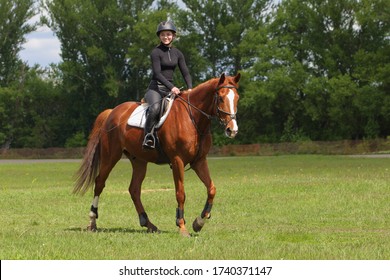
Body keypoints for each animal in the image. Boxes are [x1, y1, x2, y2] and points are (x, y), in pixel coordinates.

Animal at [71, 72, 239, 236]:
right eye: (221, 98)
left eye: (237, 98)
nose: (232, 129)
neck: (193, 119)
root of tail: (112, 112)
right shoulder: (177, 160)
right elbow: (180, 193)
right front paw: (182, 226)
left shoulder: (199, 161)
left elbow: (211, 189)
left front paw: (199, 222)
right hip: (110, 156)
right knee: (100, 183)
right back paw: (92, 222)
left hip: (139, 160)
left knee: (134, 189)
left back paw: (148, 224)